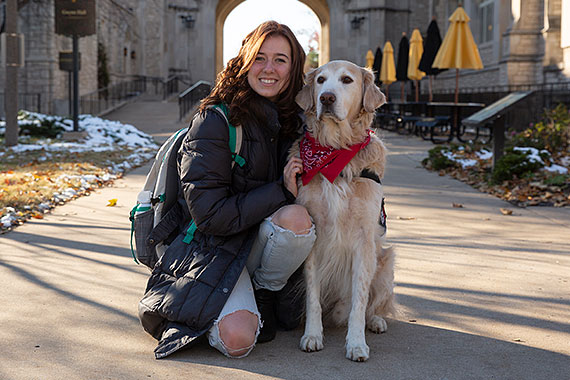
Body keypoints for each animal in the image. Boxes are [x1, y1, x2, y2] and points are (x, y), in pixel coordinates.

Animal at [290, 60, 392, 362]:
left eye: (347, 80)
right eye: (320, 80)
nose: (326, 98)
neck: (333, 152)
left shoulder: (364, 240)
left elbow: (359, 299)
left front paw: (356, 343)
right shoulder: (314, 233)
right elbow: (312, 295)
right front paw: (312, 335)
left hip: (387, 261)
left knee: (374, 304)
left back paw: (376, 321)